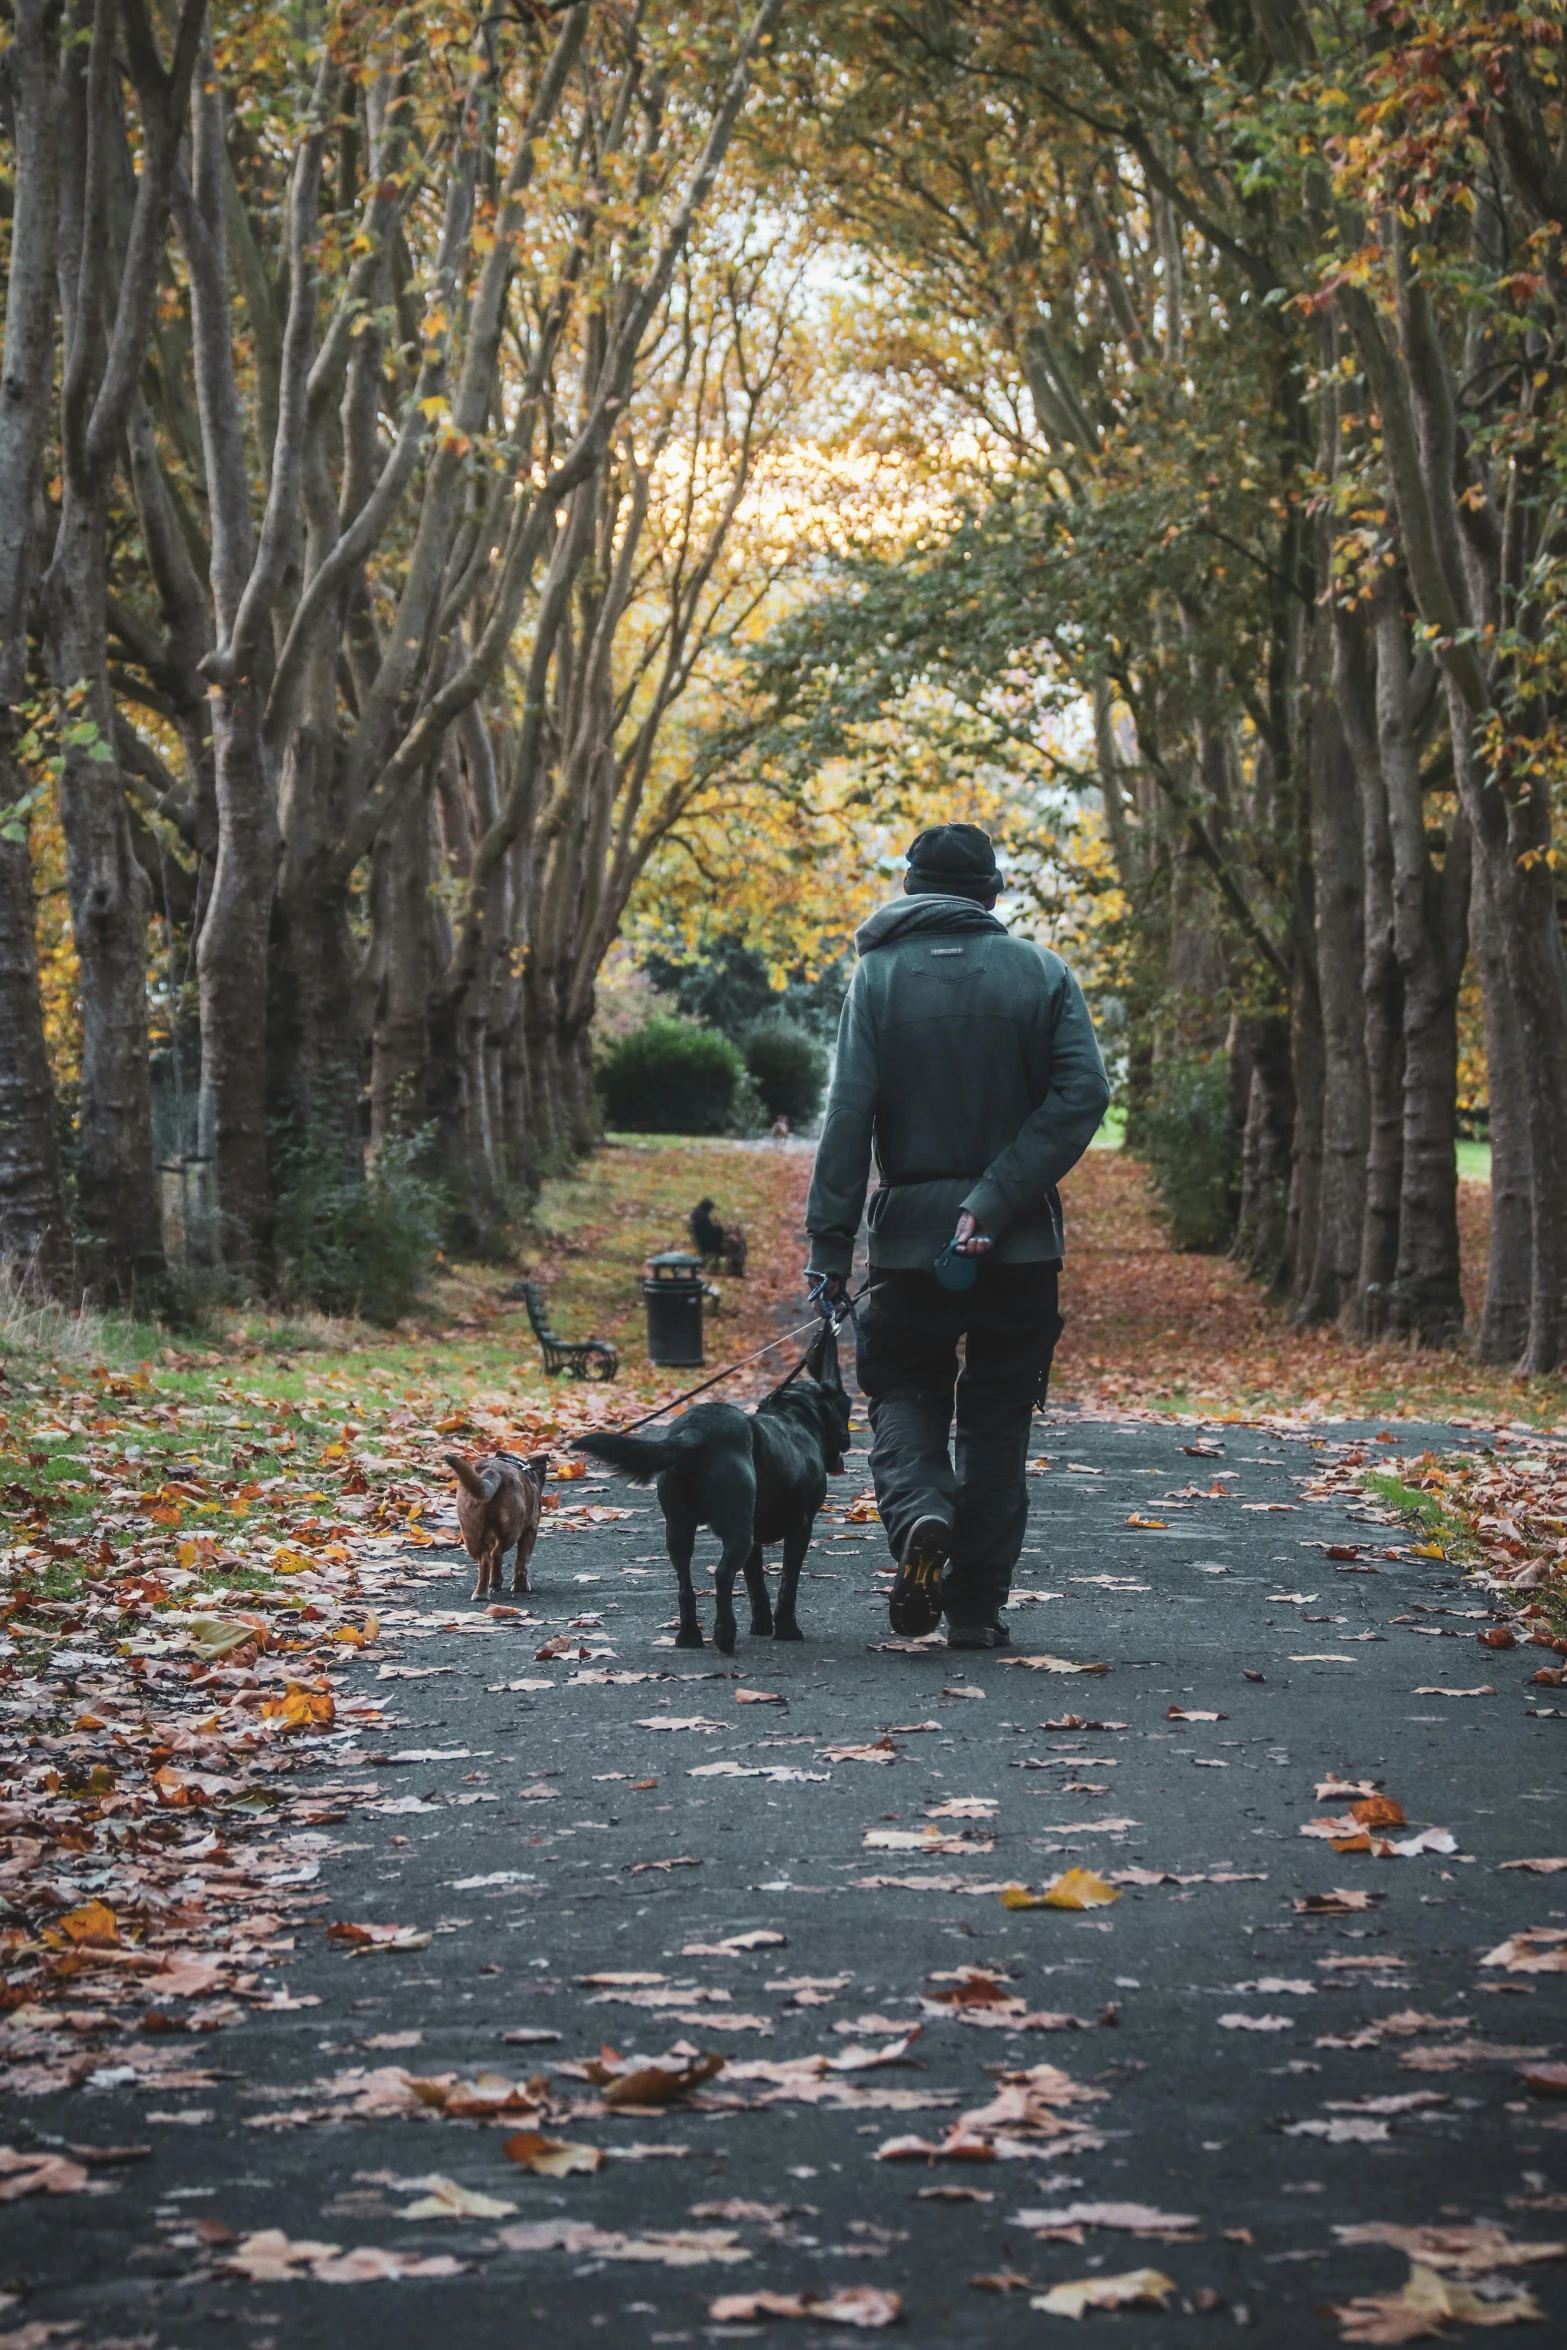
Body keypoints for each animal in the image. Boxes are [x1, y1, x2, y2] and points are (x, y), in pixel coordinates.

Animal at [446, 1447, 552, 1597]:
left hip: (470, 1532)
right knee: (496, 1553)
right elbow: (522, 1561)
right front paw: (521, 1586)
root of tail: (492, 1471)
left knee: (484, 1560)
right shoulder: (530, 1530)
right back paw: (496, 1582)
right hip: (512, 1529)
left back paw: (481, 1593)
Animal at [575, 1325, 850, 1654]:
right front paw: (786, 1630)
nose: (847, 1441)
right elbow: (788, 1582)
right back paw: (724, 1634)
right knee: (722, 1575)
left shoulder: (755, 1538)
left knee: (685, 1587)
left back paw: (689, 1636)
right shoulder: (800, 1526)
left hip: (680, 1528)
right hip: (737, 1530)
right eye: (847, 1409)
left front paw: (761, 1626)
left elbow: (756, 1584)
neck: (796, 1415)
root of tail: (694, 1432)